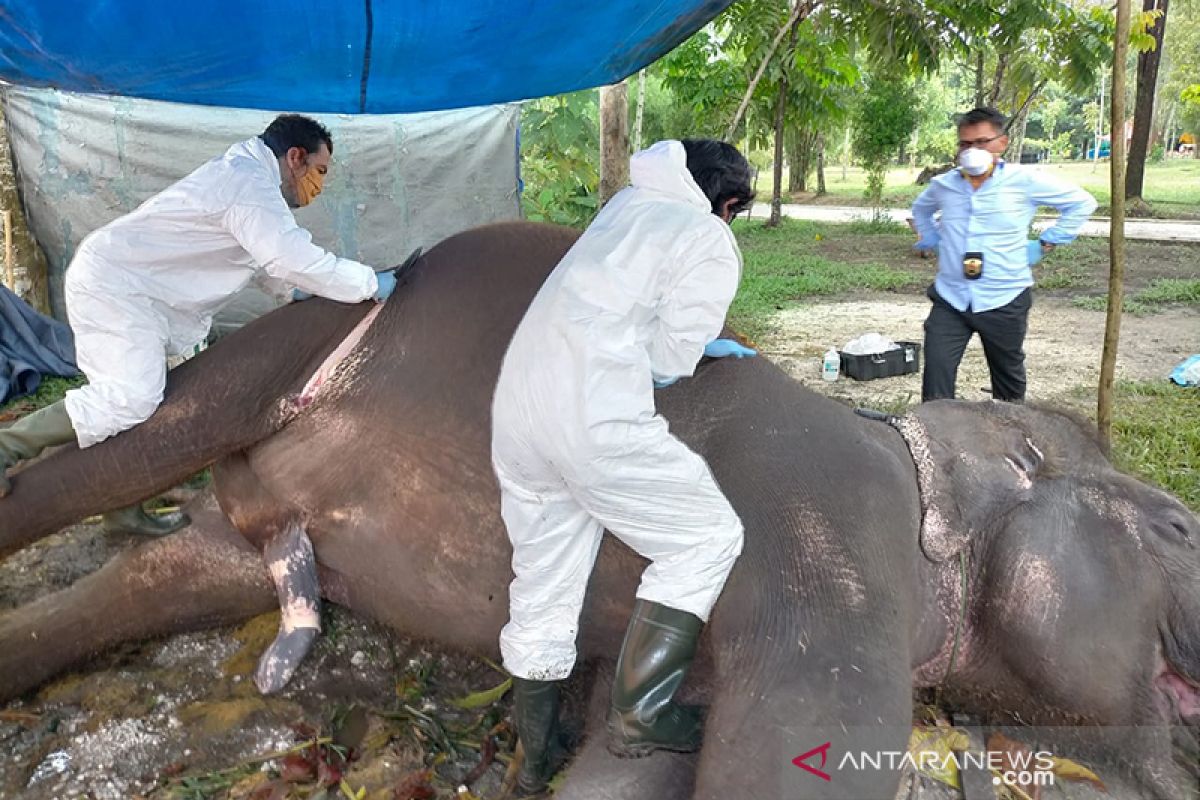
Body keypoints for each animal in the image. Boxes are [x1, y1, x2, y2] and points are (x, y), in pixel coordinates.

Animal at [0, 220, 1195, 800]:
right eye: (1179, 528)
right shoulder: (832, 538)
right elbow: (788, 765)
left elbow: (632, 762)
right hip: (294, 335)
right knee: (129, 444)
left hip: (268, 523)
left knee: (170, 571)